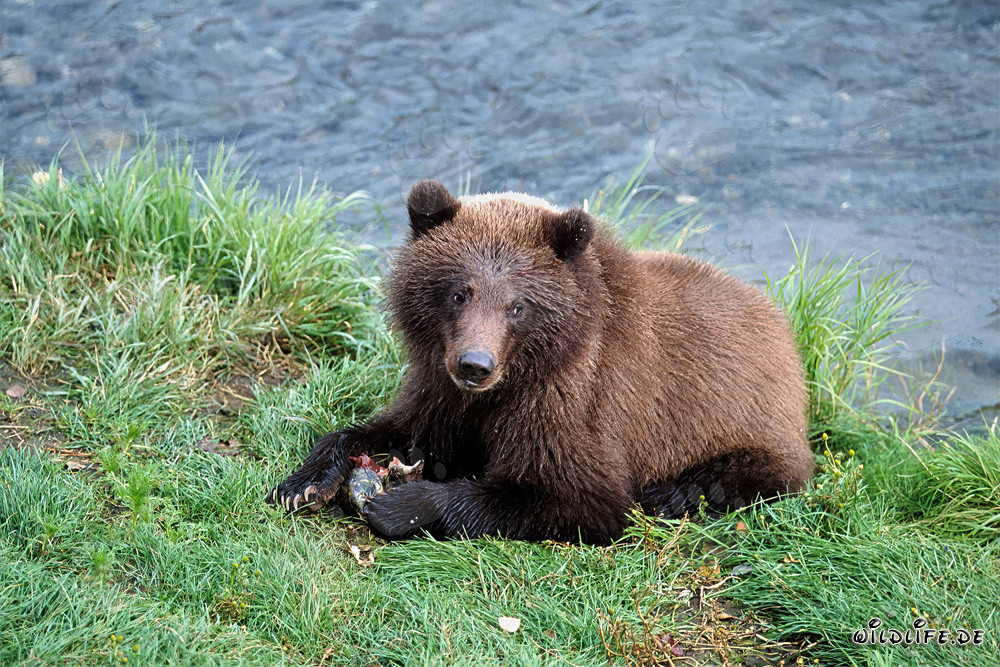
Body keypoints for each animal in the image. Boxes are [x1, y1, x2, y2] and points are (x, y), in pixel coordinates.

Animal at [268, 179, 814, 545]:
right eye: (460, 292)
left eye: (517, 304)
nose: (474, 364)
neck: (517, 376)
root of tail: (780, 326)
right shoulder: (441, 390)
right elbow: (398, 429)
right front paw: (303, 483)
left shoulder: (573, 399)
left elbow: (571, 495)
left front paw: (403, 504)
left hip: (750, 418)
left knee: (754, 472)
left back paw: (675, 493)